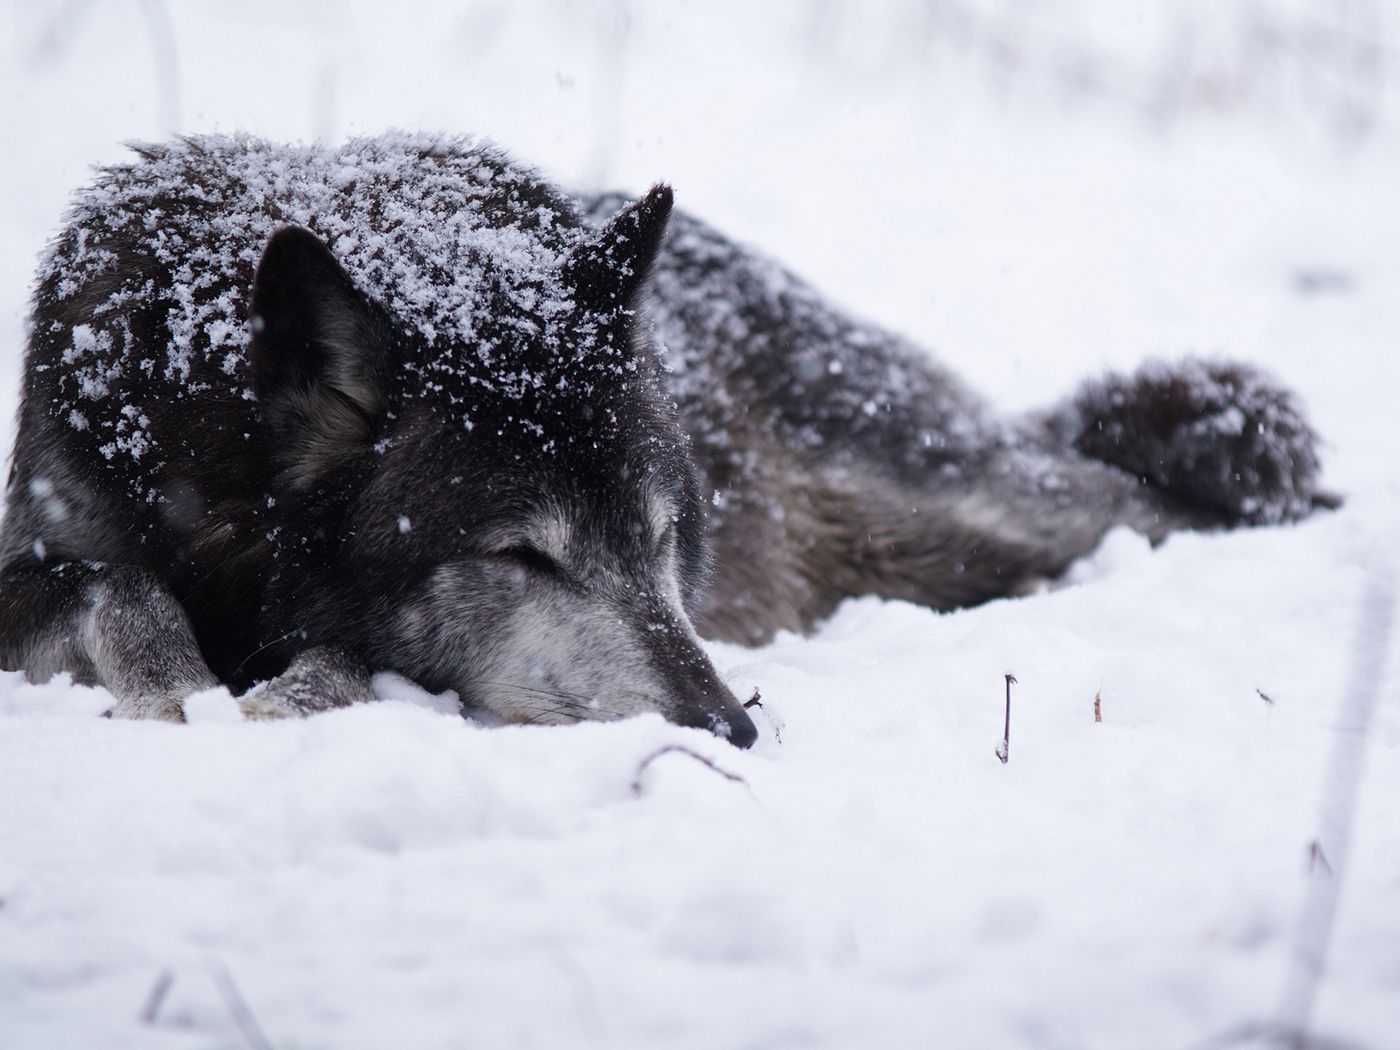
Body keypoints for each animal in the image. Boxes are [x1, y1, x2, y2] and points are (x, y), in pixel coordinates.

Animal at [0, 135, 1327, 750]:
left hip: (960, 515)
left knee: (1146, 503)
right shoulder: (49, 538)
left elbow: (332, 653)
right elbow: (113, 581)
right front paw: (179, 685)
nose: (731, 730)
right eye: (521, 556)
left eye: (656, 540)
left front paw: (278, 695)